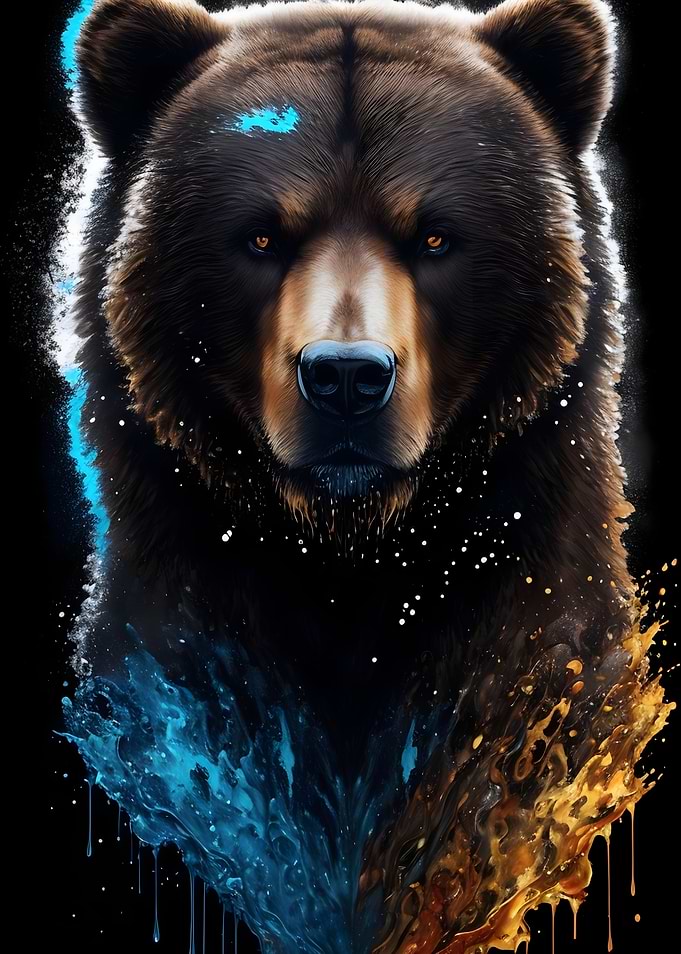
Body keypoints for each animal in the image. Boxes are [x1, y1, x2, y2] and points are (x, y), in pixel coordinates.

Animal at [59, 1, 670, 953]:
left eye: (435, 235)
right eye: (261, 235)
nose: (345, 377)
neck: (352, 560)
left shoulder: (533, 660)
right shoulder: (183, 669)